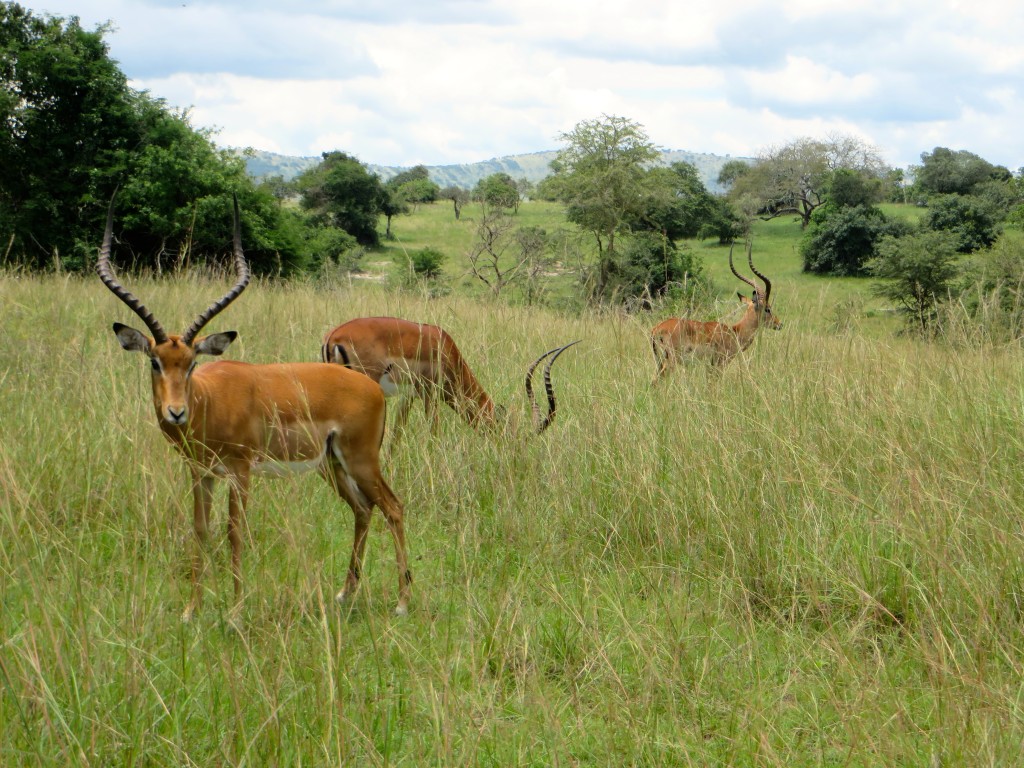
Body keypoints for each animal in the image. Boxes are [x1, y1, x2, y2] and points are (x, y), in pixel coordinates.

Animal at [98, 199, 411, 626]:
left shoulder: (240, 472)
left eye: (192, 363)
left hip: (361, 460)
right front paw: (191, 611)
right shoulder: (200, 474)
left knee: (393, 507)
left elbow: (235, 532)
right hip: (331, 465)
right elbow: (200, 529)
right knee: (363, 510)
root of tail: (371, 388)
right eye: (154, 362)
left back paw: (402, 602)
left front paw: (235, 611)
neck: (209, 402)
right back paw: (345, 594)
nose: (175, 412)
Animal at [319, 319, 577, 436]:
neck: (445, 347)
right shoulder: (430, 394)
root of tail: (334, 335)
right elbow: (433, 430)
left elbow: (397, 433)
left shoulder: (409, 397)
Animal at [651, 243, 778, 378]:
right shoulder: (720, 363)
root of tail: (656, 330)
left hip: (660, 362)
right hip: (670, 362)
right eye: (768, 309)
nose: (779, 324)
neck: (734, 332)